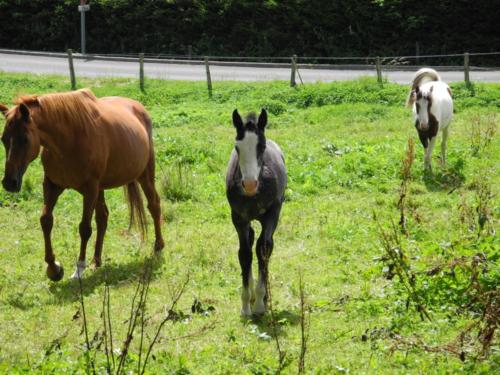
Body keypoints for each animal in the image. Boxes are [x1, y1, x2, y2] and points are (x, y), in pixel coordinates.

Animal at [0, 89, 164, 282]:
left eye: (24, 139)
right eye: (3, 139)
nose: (9, 182)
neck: (69, 140)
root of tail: (139, 108)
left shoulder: (90, 188)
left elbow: (84, 228)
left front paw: (78, 268)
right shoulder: (52, 185)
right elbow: (46, 220)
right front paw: (54, 268)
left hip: (144, 175)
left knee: (154, 205)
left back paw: (158, 247)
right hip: (102, 188)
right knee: (103, 217)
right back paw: (96, 261)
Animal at [226, 109, 288, 318]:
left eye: (261, 146)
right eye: (237, 147)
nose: (250, 184)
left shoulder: (272, 214)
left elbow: (264, 248)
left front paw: (261, 303)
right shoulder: (238, 218)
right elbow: (245, 254)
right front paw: (246, 305)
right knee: (251, 239)